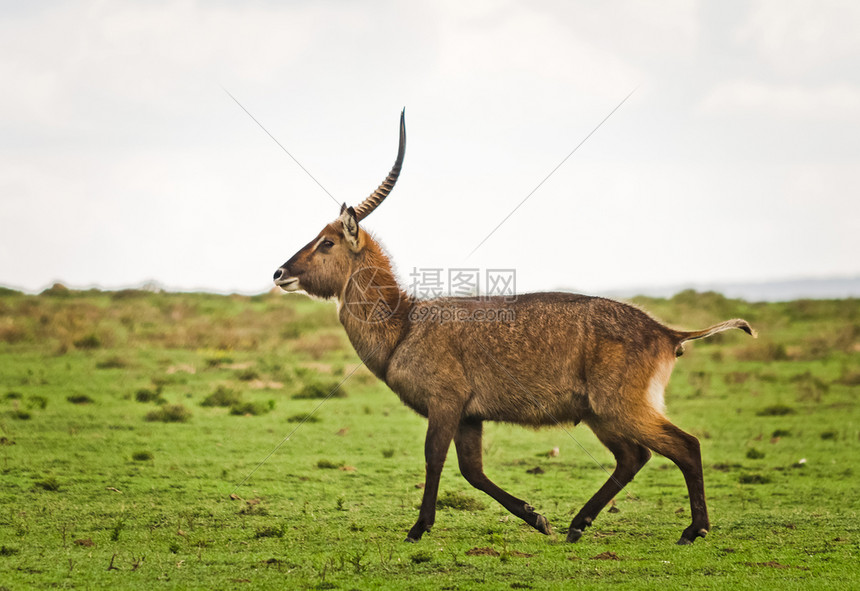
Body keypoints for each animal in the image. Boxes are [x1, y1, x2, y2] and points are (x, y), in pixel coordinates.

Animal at [272, 111, 756, 544]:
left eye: (327, 242)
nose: (279, 273)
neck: (404, 324)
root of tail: (667, 333)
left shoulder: (446, 403)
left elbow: (434, 460)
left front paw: (417, 529)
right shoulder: (470, 415)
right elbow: (472, 471)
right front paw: (537, 518)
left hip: (620, 407)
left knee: (685, 446)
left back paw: (693, 531)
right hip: (600, 414)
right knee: (633, 457)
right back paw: (577, 526)